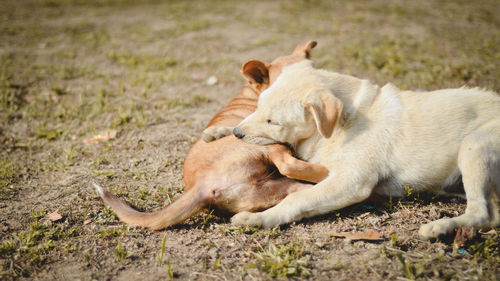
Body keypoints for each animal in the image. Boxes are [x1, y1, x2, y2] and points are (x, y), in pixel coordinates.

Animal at [206, 59, 500, 238]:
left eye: (273, 122)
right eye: (257, 106)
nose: (238, 134)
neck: (344, 120)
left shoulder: (352, 181)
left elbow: (298, 199)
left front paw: (260, 219)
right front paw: (220, 130)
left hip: (475, 145)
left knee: (484, 214)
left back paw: (440, 227)